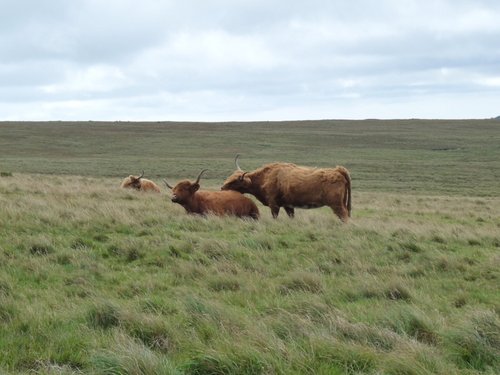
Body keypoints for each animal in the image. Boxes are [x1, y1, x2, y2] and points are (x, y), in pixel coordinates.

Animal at [223, 156, 352, 223]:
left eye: (234, 181)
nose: (222, 188)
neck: (265, 177)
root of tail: (338, 170)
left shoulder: (274, 204)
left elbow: (274, 216)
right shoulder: (288, 206)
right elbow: (291, 216)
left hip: (336, 204)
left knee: (344, 215)